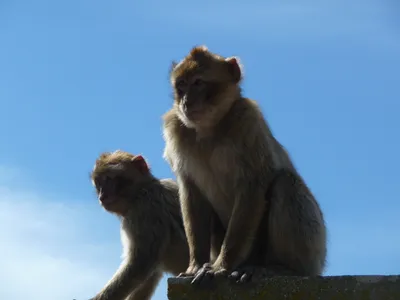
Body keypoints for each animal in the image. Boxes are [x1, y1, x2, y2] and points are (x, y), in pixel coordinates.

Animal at [90, 151, 190, 298]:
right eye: (99, 183)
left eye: (109, 179)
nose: (102, 196)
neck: (143, 188)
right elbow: (151, 274)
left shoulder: (143, 209)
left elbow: (140, 263)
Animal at [162, 45, 328, 284]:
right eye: (181, 85)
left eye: (198, 83)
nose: (186, 102)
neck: (210, 130)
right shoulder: (176, 129)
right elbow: (191, 194)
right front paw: (195, 266)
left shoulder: (248, 120)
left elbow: (253, 186)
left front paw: (220, 267)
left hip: (314, 248)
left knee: (285, 183)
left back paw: (283, 268)